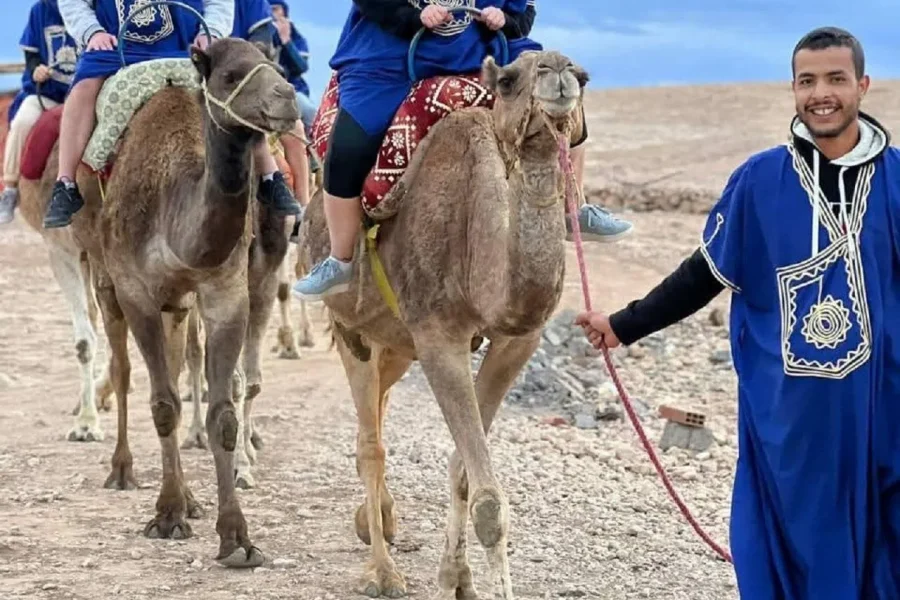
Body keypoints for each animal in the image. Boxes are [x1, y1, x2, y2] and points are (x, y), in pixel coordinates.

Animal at [22, 38, 297, 566]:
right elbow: (163, 403)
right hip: (103, 274)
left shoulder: (224, 290)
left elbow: (222, 412)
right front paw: (167, 516)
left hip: (180, 300)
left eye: (271, 62)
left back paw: (190, 498)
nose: (287, 97)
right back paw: (122, 469)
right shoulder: (136, 291)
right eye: (230, 76)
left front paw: (236, 537)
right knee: (122, 368)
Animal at [298, 50, 587, 598]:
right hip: (350, 326)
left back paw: (377, 520)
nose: (559, 72)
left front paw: (459, 578)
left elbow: (463, 471)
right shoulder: (438, 337)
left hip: (395, 342)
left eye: (584, 76)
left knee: (380, 407)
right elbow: (489, 502)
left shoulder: (516, 340)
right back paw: (383, 570)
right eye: (510, 80)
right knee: (370, 443)